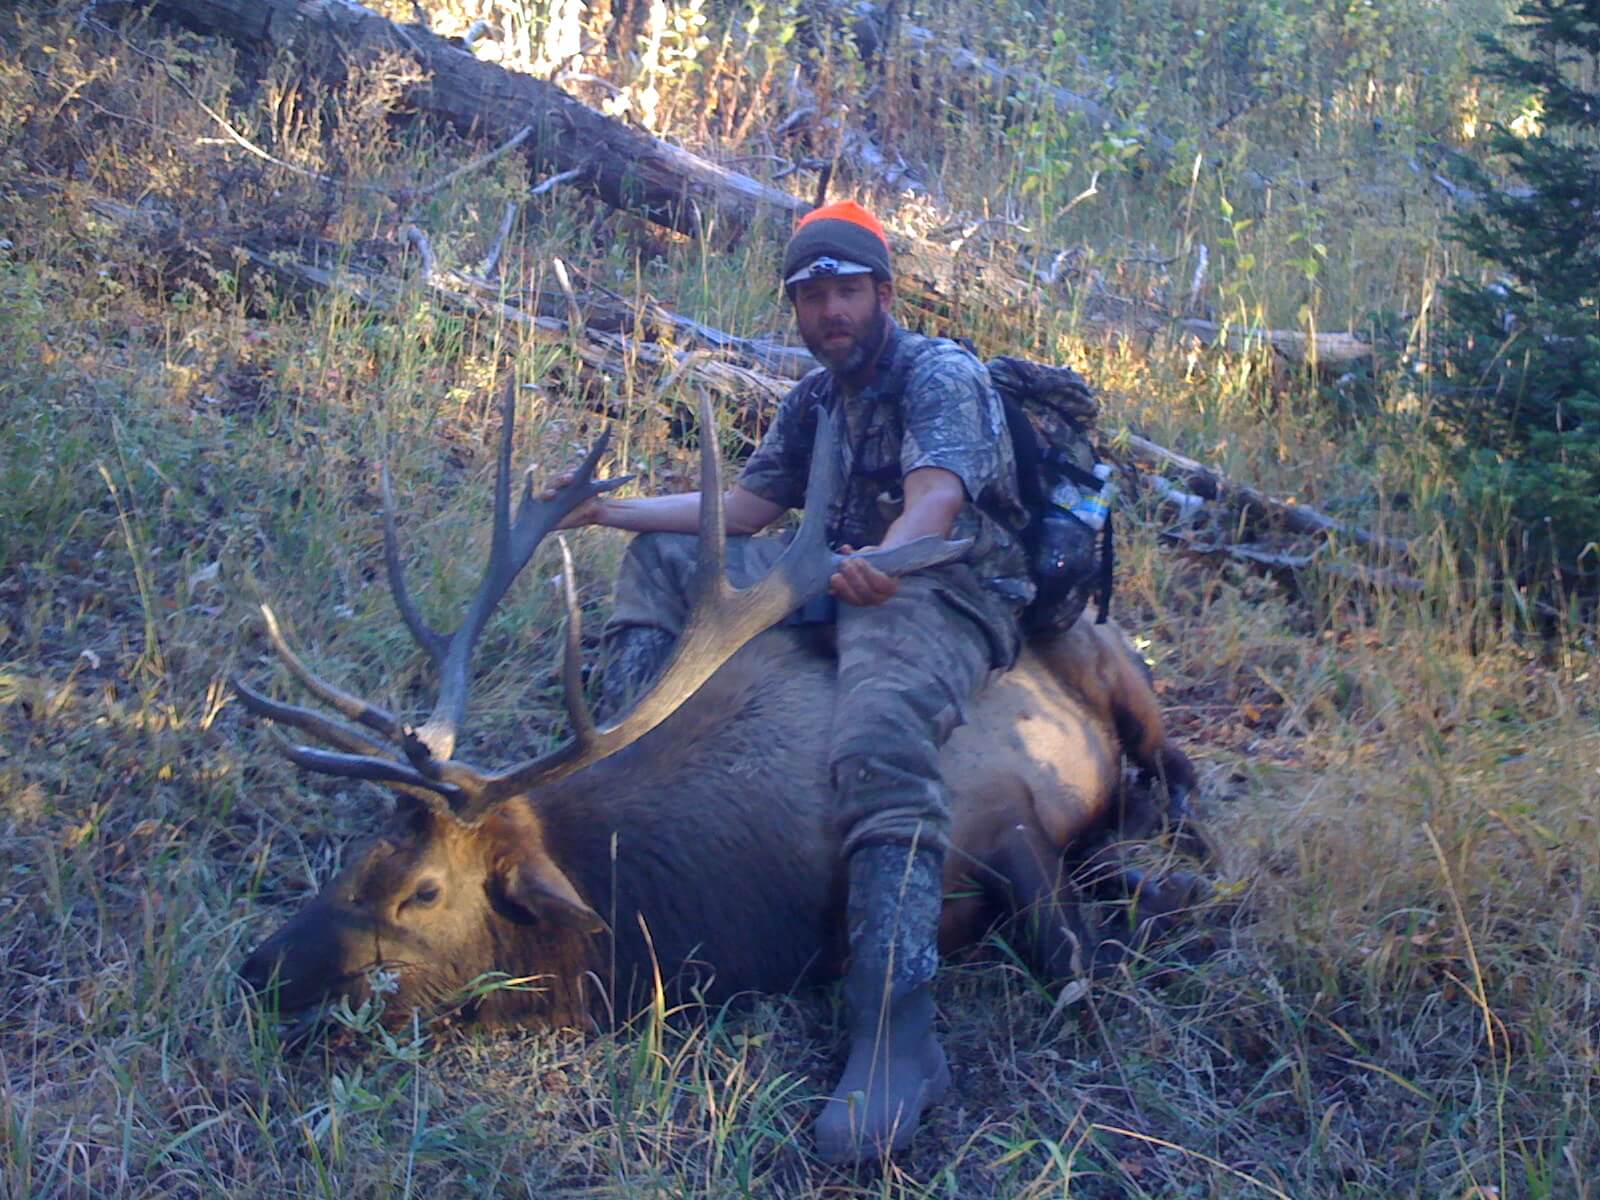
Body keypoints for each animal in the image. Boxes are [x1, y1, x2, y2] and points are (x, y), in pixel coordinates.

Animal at [236, 379, 1207, 1058]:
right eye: (361, 855)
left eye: (424, 891)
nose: (258, 971)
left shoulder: (1004, 809)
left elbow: (1072, 958)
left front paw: (1156, 899)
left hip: (1120, 674)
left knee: (1178, 768)